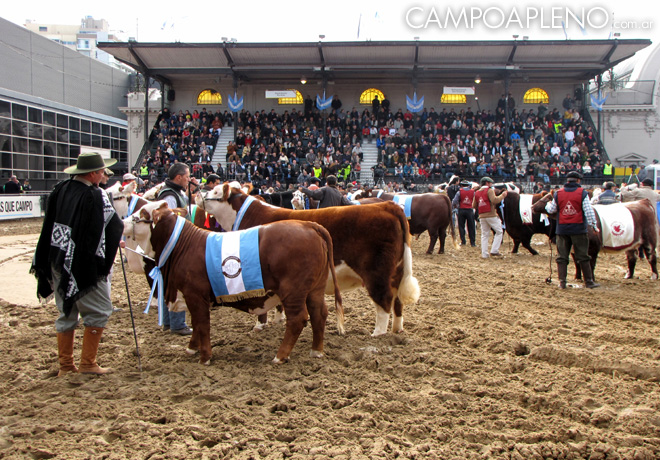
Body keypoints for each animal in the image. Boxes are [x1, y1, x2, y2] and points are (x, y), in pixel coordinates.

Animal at [122, 203, 346, 364]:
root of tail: (308, 224)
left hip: (294, 291)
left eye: (139, 216)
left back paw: (280, 356)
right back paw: (316, 351)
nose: (122, 221)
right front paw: (191, 348)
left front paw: (205, 357)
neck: (182, 246)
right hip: (314, 289)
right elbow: (196, 324)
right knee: (319, 314)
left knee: (298, 319)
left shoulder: (195, 295)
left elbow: (202, 324)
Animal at [199, 181, 420, 336]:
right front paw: (279, 319)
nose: (201, 192)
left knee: (384, 301)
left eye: (216, 191)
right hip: (397, 271)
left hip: (377, 273)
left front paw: (260, 326)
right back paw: (397, 330)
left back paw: (377, 333)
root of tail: (388, 206)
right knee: (398, 301)